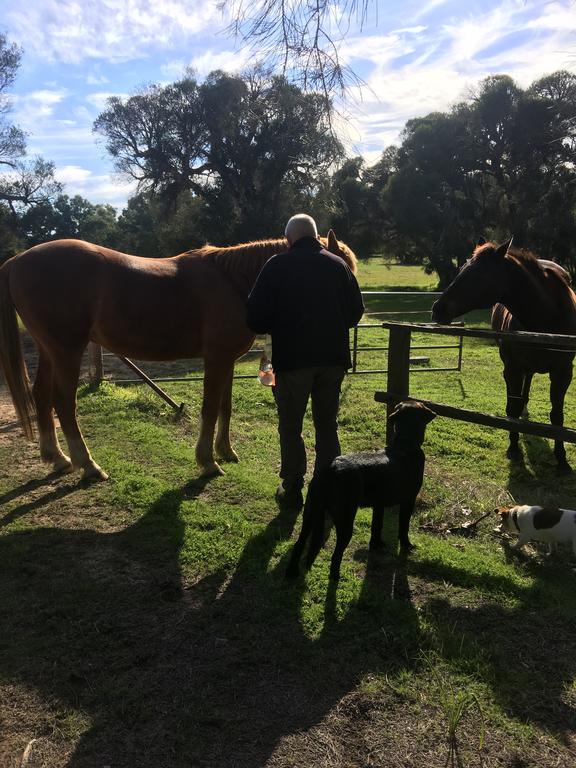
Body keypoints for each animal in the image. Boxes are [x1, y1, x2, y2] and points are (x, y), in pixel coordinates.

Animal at [0, 231, 358, 480]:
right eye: (343, 270)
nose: (353, 313)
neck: (233, 281)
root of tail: (16, 262)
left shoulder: (226, 360)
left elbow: (225, 407)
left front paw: (225, 451)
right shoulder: (216, 359)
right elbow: (210, 408)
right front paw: (208, 462)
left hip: (50, 351)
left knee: (41, 396)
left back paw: (57, 457)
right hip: (67, 351)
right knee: (63, 403)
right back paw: (88, 465)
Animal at [286, 402, 434, 584]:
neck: (405, 445)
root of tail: (330, 470)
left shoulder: (379, 504)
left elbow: (376, 526)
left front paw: (376, 545)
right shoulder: (408, 500)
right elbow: (403, 527)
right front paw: (407, 546)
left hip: (311, 514)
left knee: (299, 544)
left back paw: (291, 572)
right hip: (345, 519)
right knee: (336, 554)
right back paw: (335, 576)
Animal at [432, 237, 576, 472]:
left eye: (478, 274)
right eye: (462, 269)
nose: (438, 309)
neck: (547, 315)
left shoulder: (563, 373)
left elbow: (557, 416)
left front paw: (562, 459)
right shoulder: (513, 370)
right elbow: (512, 409)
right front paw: (514, 448)